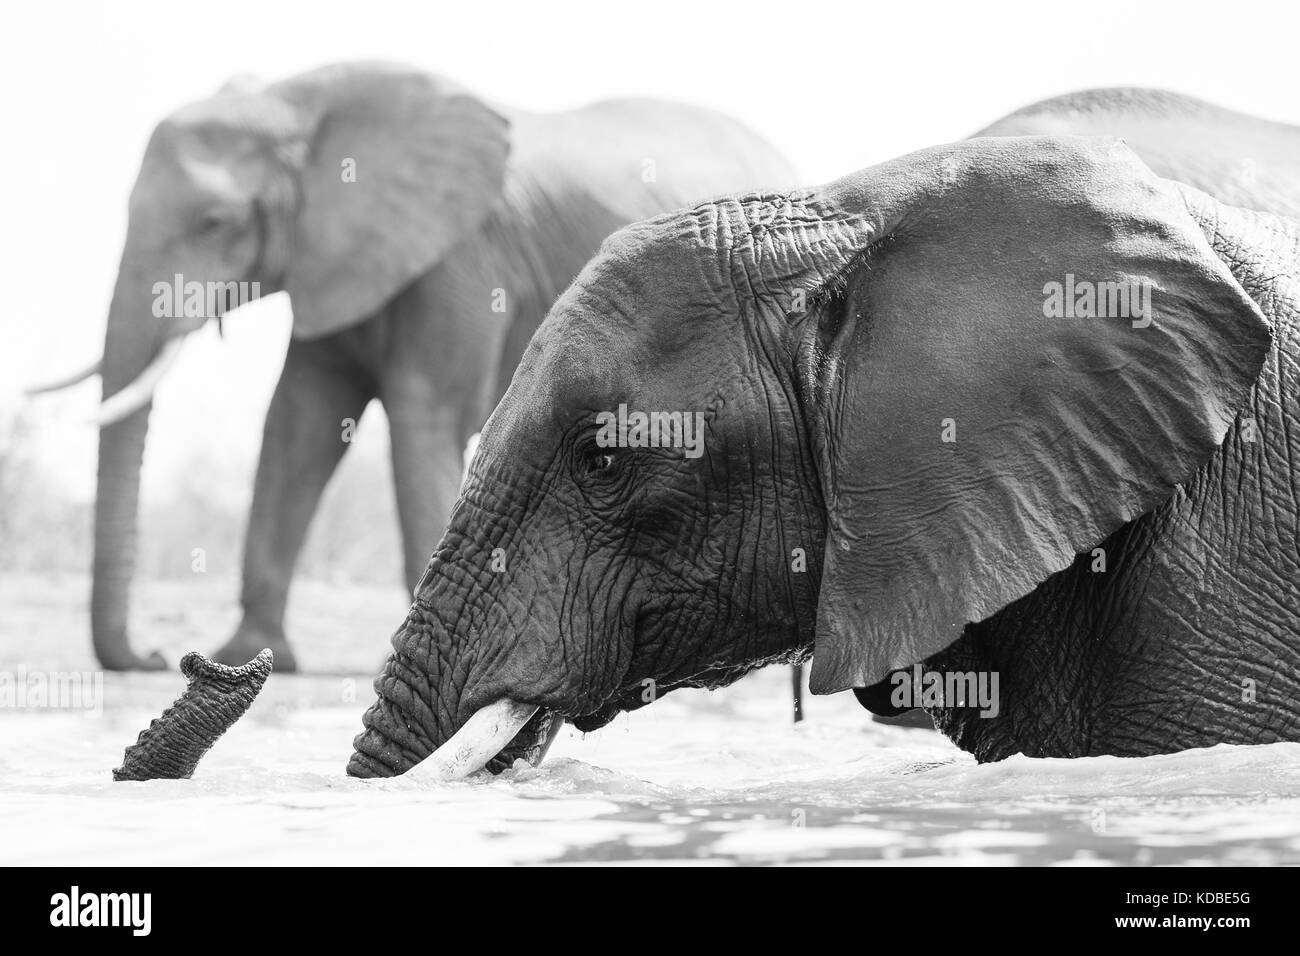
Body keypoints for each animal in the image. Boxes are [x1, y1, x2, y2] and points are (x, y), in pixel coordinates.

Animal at [32, 62, 797, 672]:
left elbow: (425, 414)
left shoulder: (463, 258)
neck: (298, 105)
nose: (156, 656)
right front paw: (249, 654)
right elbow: (299, 426)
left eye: (215, 222)